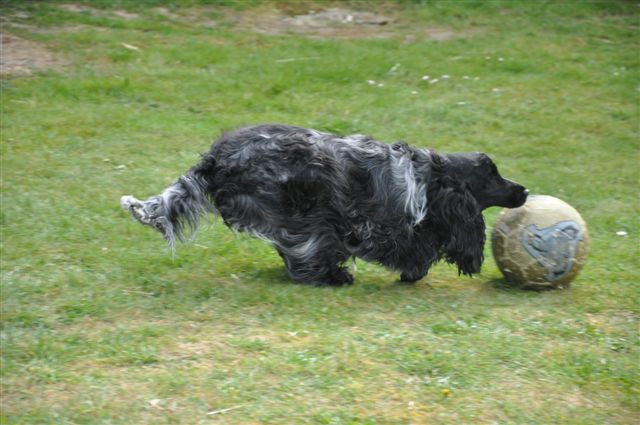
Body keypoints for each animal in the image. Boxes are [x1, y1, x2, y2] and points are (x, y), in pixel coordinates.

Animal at [122, 124, 528, 286]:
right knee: (303, 250)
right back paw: (329, 276)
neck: (430, 178)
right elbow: (412, 247)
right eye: (493, 175)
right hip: (305, 211)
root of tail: (214, 159)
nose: (523, 190)